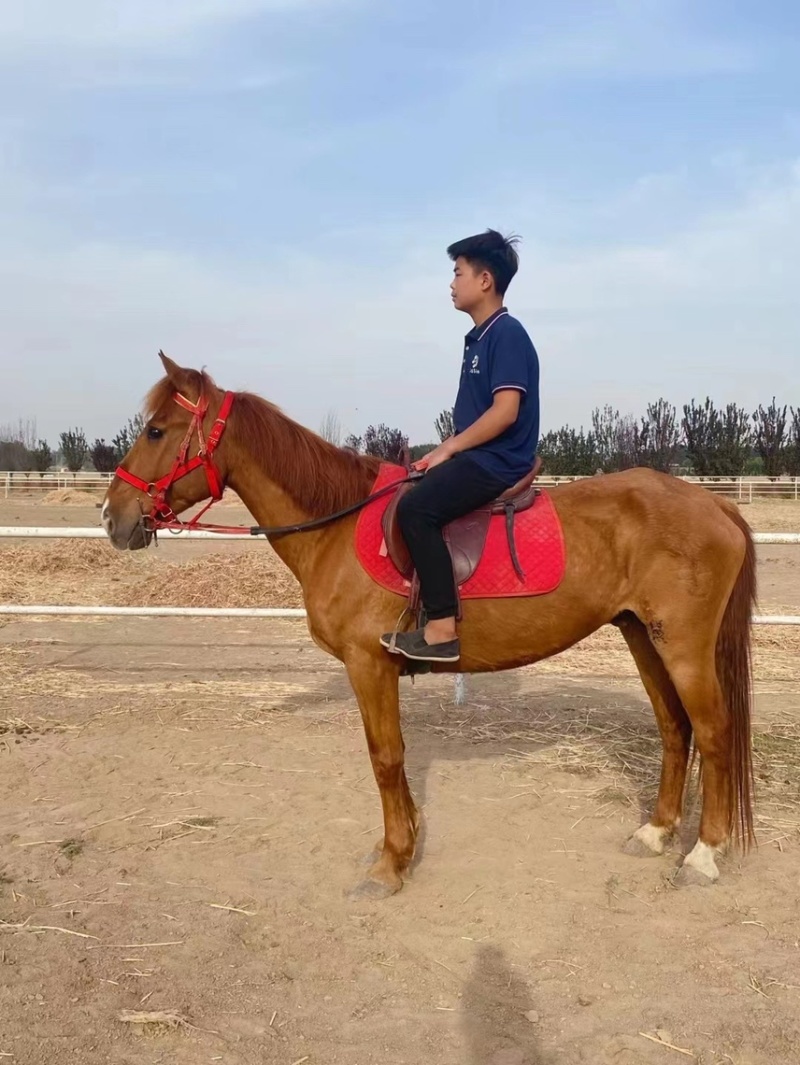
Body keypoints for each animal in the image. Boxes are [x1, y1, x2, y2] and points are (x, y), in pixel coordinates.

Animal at [102, 353, 756, 897]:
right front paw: (402, 843)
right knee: (674, 728)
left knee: (713, 732)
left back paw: (703, 854)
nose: (112, 516)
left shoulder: (369, 666)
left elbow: (386, 758)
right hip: (643, 636)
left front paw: (392, 863)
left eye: (156, 430)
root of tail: (714, 502)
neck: (337, 524)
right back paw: (656, 832)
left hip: (684, 648)